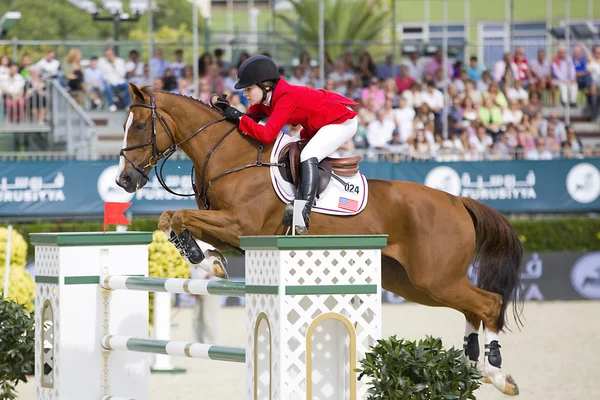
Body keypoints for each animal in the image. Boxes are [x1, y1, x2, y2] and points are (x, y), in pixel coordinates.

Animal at [115, 83, 524, 396]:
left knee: (488, 304)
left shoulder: (241, 226)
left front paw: (206, 259)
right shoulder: (229, 229)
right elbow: (171, 219)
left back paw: (496, 373)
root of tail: (457, 200)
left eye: (140, 126)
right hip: (411, 283)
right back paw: (474, 368)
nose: (123, 180)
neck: (231, 157)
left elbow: (180, 216)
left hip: (434, 278)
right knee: (472, 308)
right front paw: (207, 257)